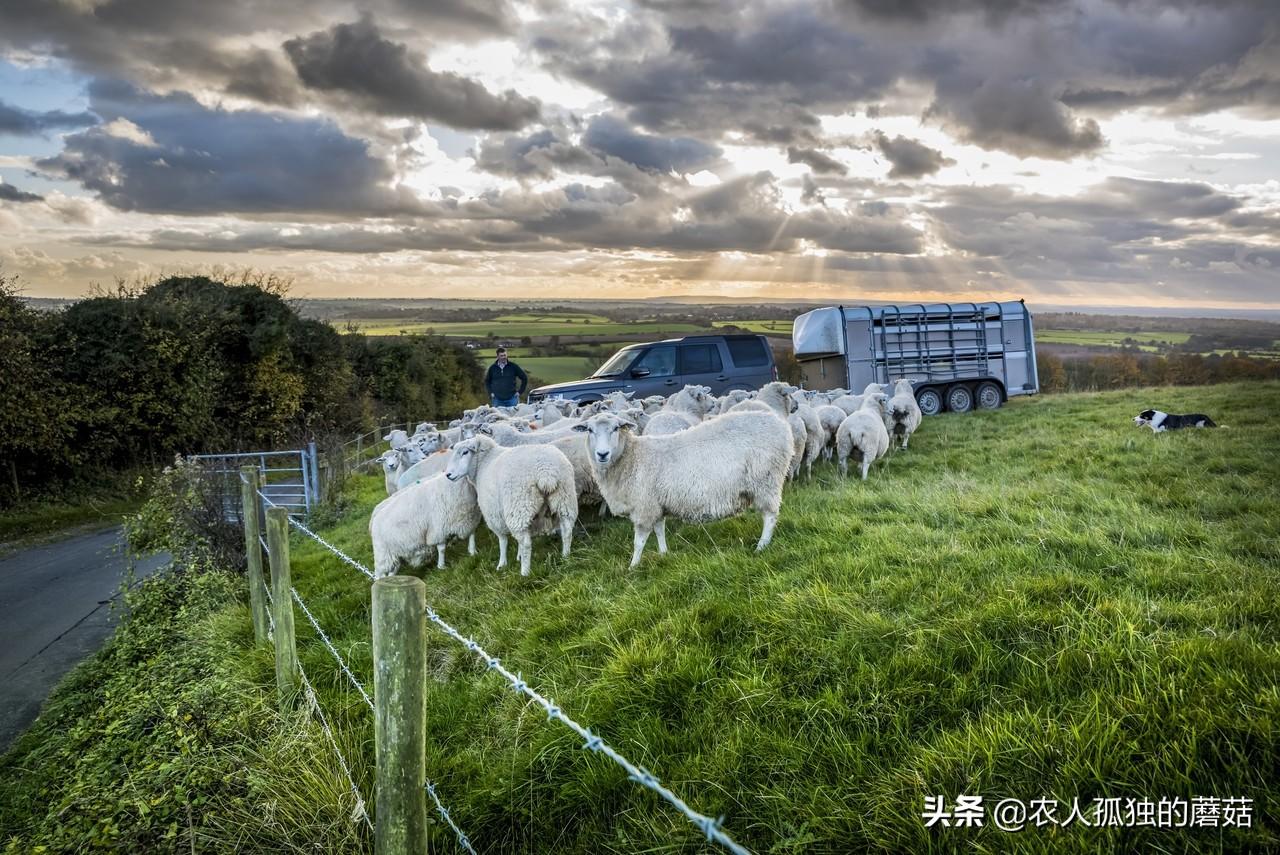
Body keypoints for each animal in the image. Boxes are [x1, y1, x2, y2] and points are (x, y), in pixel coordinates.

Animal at [442, 437, 578, 578]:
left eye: (465, 452)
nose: (448, 474)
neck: (483, 463)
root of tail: (546, 472)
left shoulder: (495, 515)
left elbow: (503, 541)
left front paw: (502, 564)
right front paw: (518, 556)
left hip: (519, 507)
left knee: (526, 543)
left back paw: (525, 573)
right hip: (564, 500)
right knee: (567, 531)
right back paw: (565, 557)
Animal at [578, 409, 793, 568]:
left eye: (616, 428)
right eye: (589, 430)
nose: (602, 454)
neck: (632, 458)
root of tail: (781, 424)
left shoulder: (644, 507)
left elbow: (639, 542)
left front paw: (633, 566)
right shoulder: (656, 503)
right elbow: (660, 530)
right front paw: (663, 554)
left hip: (766, 480)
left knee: (770, 515)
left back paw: (762, 546)